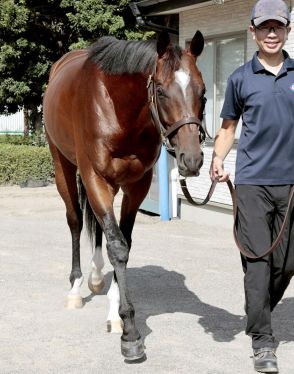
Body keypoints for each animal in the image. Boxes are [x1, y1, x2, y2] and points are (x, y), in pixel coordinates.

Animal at [42, 30, 206, 360]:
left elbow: (122, 243)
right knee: (75, 220)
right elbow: (116, 246)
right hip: (62, 163)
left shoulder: (137, 184)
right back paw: (76, 288)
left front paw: (116, 316)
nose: (191, 159)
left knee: (98, 229)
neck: (118, 109)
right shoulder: (94, 177)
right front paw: (130, 332)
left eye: (203, 92)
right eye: (161, 91)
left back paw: (95, 277)